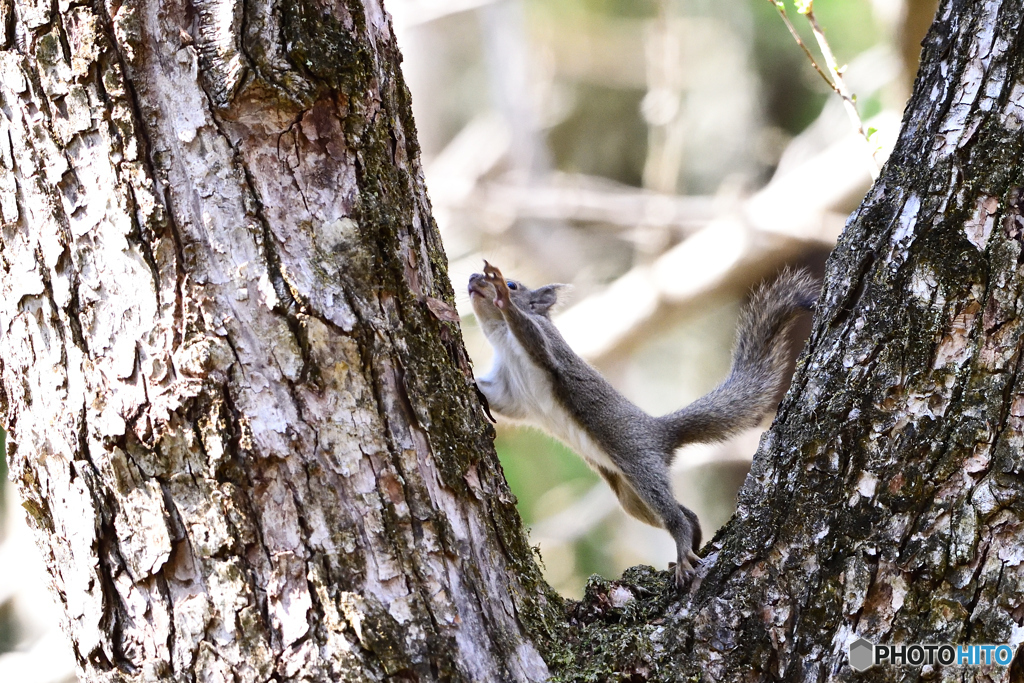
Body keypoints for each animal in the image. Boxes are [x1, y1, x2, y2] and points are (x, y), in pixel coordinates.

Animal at [468, 262, 815, 589]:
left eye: (514, 284)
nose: (472, 279)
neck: (501, 337)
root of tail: (659, 431)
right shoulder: (509, 389)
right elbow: (497, 399)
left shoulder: (546, 346)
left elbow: (531, 335)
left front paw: (503, 299)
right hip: (630, 497)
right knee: (684, 515)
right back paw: (690, 544)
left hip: (641, 466)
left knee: (673, 516)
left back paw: (683, 551)